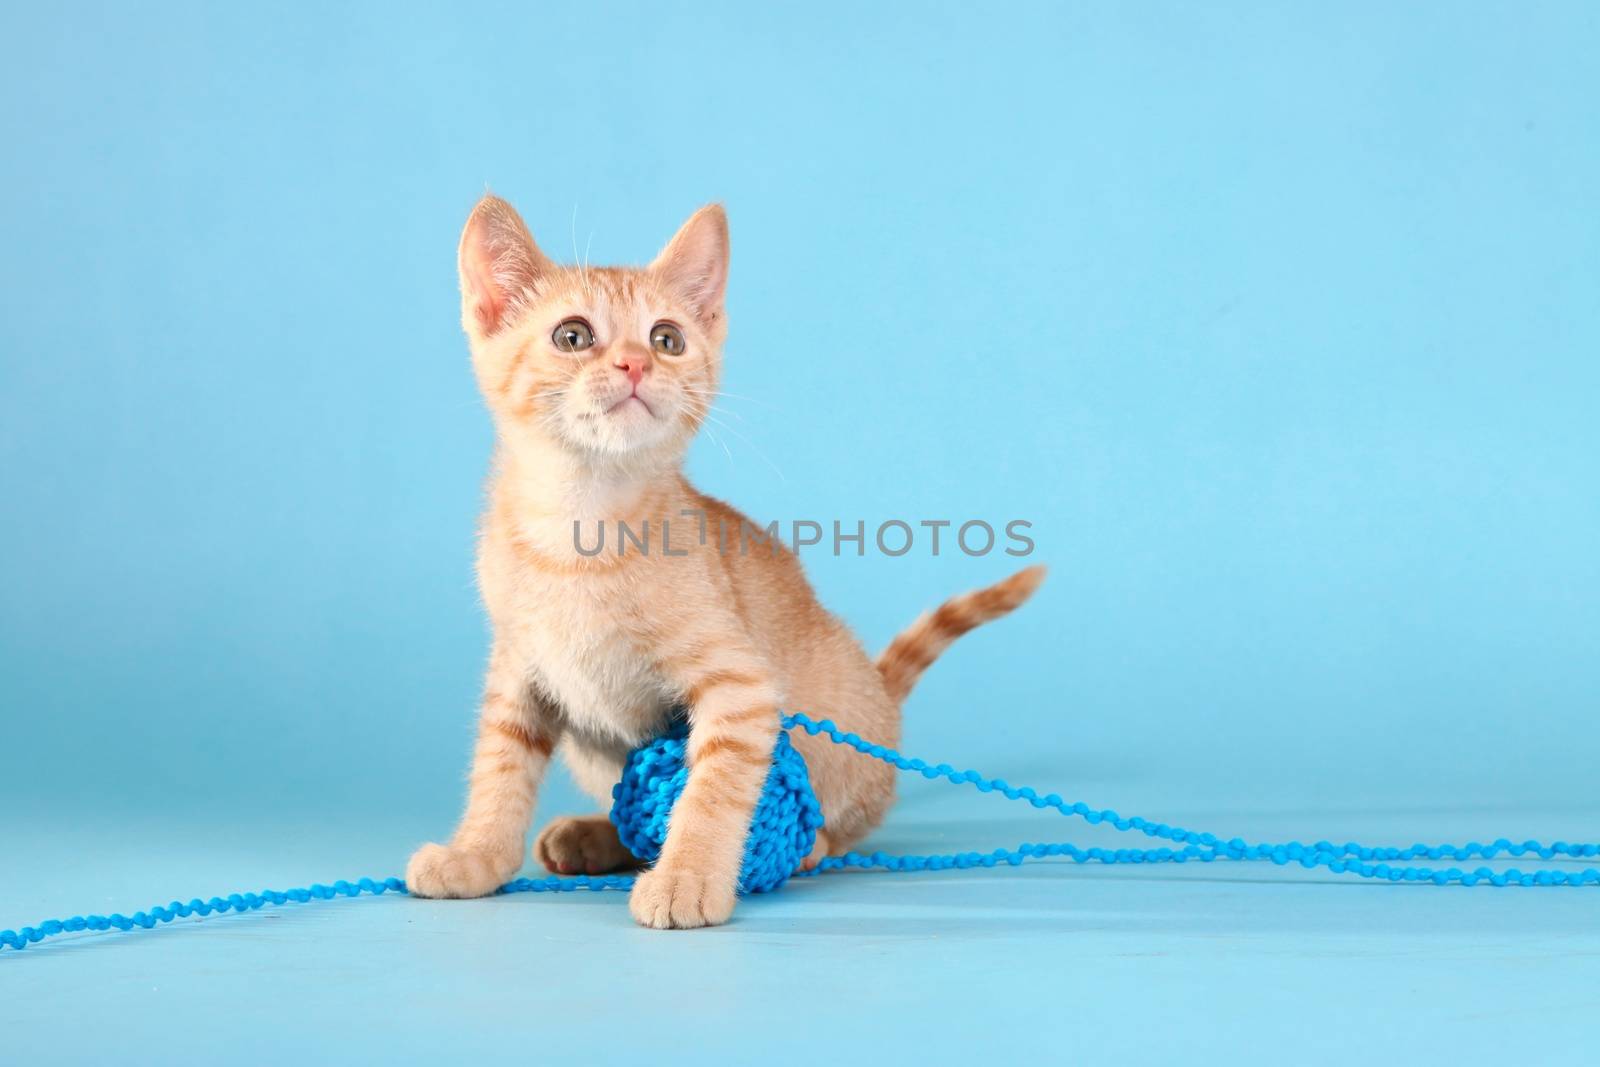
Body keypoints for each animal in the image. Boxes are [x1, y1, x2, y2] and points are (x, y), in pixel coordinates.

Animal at [406, 198, 1043, 927]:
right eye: (572, 336)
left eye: (666, 340)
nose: (635, 366)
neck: (580, 526)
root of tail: (881, 694)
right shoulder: (519, 669)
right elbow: (499, 769)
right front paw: (476, 854)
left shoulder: (740, 686)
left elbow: (711, 786)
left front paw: (688, 875)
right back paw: (594, 837)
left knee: (842, 825)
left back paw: (801, 845)